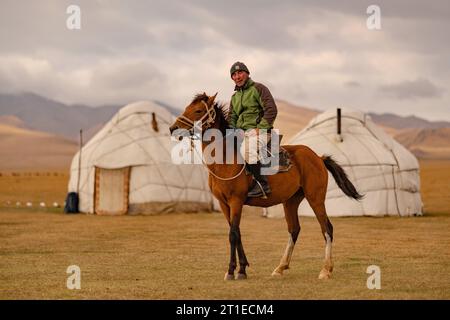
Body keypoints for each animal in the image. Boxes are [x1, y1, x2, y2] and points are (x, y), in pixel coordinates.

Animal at [169, 92, 362, 280]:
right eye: (187, 107)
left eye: (198, 111)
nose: (173, 128)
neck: (224, 159)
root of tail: (318, 158)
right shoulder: (224, 204)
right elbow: (236, 232)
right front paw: (242, 268)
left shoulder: (236, 201)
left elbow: (233, 234)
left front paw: (232, 271)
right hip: (291, 201)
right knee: (294, 229)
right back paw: (281, 267)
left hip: (316, 198)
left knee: (327, 228)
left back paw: (326, 270)